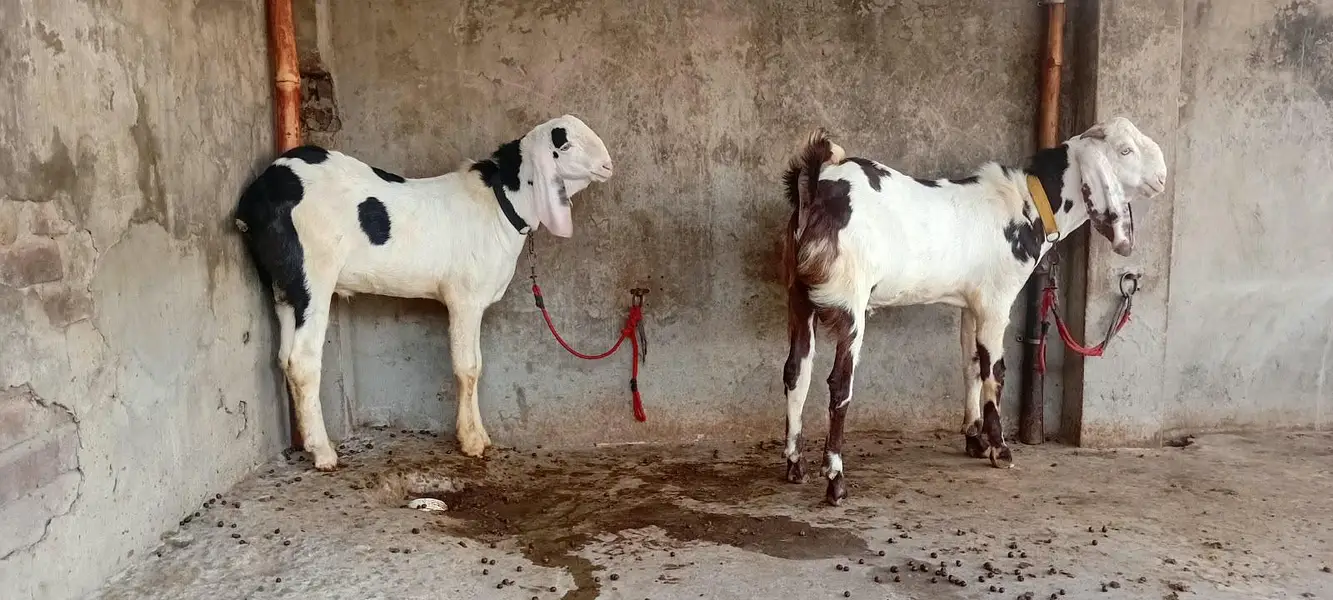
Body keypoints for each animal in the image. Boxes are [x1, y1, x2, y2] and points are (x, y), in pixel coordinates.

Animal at [234, 115, 614, 470]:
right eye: (564, 145)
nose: (608, 165)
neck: (499, 204)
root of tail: (256, 197)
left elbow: (477, 363)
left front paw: (481, 436)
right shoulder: (464, 297)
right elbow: (468, 366)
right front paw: (471, 442)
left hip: (283, 283)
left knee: (285, 356)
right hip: (312, 272)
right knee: (303, 358)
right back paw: (323, 452)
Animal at [779, 117, 1168, 505]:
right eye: (1125, 150)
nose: (1163, 176)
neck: (1027, 203)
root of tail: (817, 185)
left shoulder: (970, 304)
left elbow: (972, 365)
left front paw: (973, 438)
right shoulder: (997, 301)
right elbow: (995, 370)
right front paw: (1000, 448)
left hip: (798, 296)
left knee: (797, 371)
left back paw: (795, 465)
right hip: (851, 302)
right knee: (839, 384)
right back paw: (835, 479)